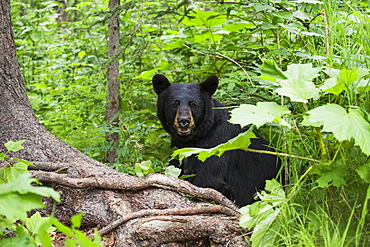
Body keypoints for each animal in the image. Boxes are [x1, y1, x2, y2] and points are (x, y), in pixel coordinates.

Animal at [152, 74, 278, 206]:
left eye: (193, 104)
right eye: (174, 104)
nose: (184, 121)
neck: (197, 136)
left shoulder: (214, 146)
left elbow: (207, 181)